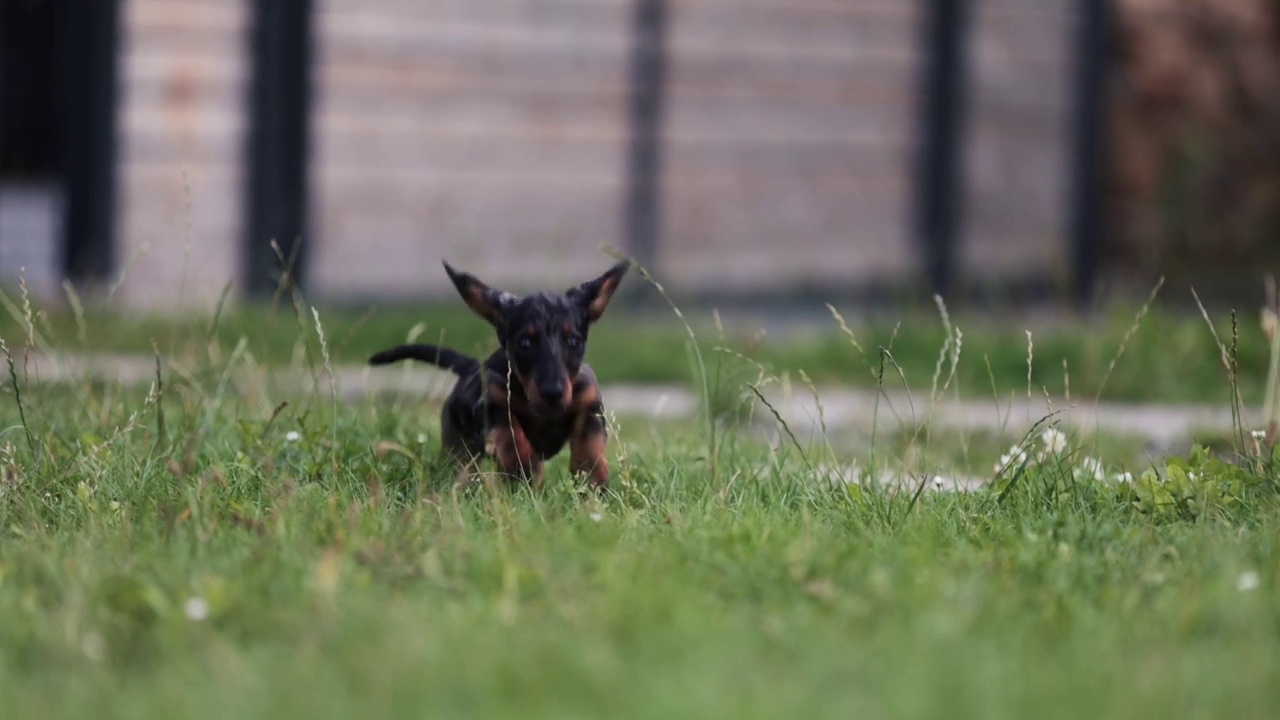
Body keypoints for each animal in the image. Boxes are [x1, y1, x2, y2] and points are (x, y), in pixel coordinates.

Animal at [371, 260, 629, 489]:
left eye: (573, 341)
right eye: (525, 342)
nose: (552, 393)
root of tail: (471, 367)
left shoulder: (588, 407)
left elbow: (589, 449)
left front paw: (593, 486)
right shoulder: (492, 405)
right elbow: (510, 435)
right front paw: (524, 469)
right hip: (459, 445)